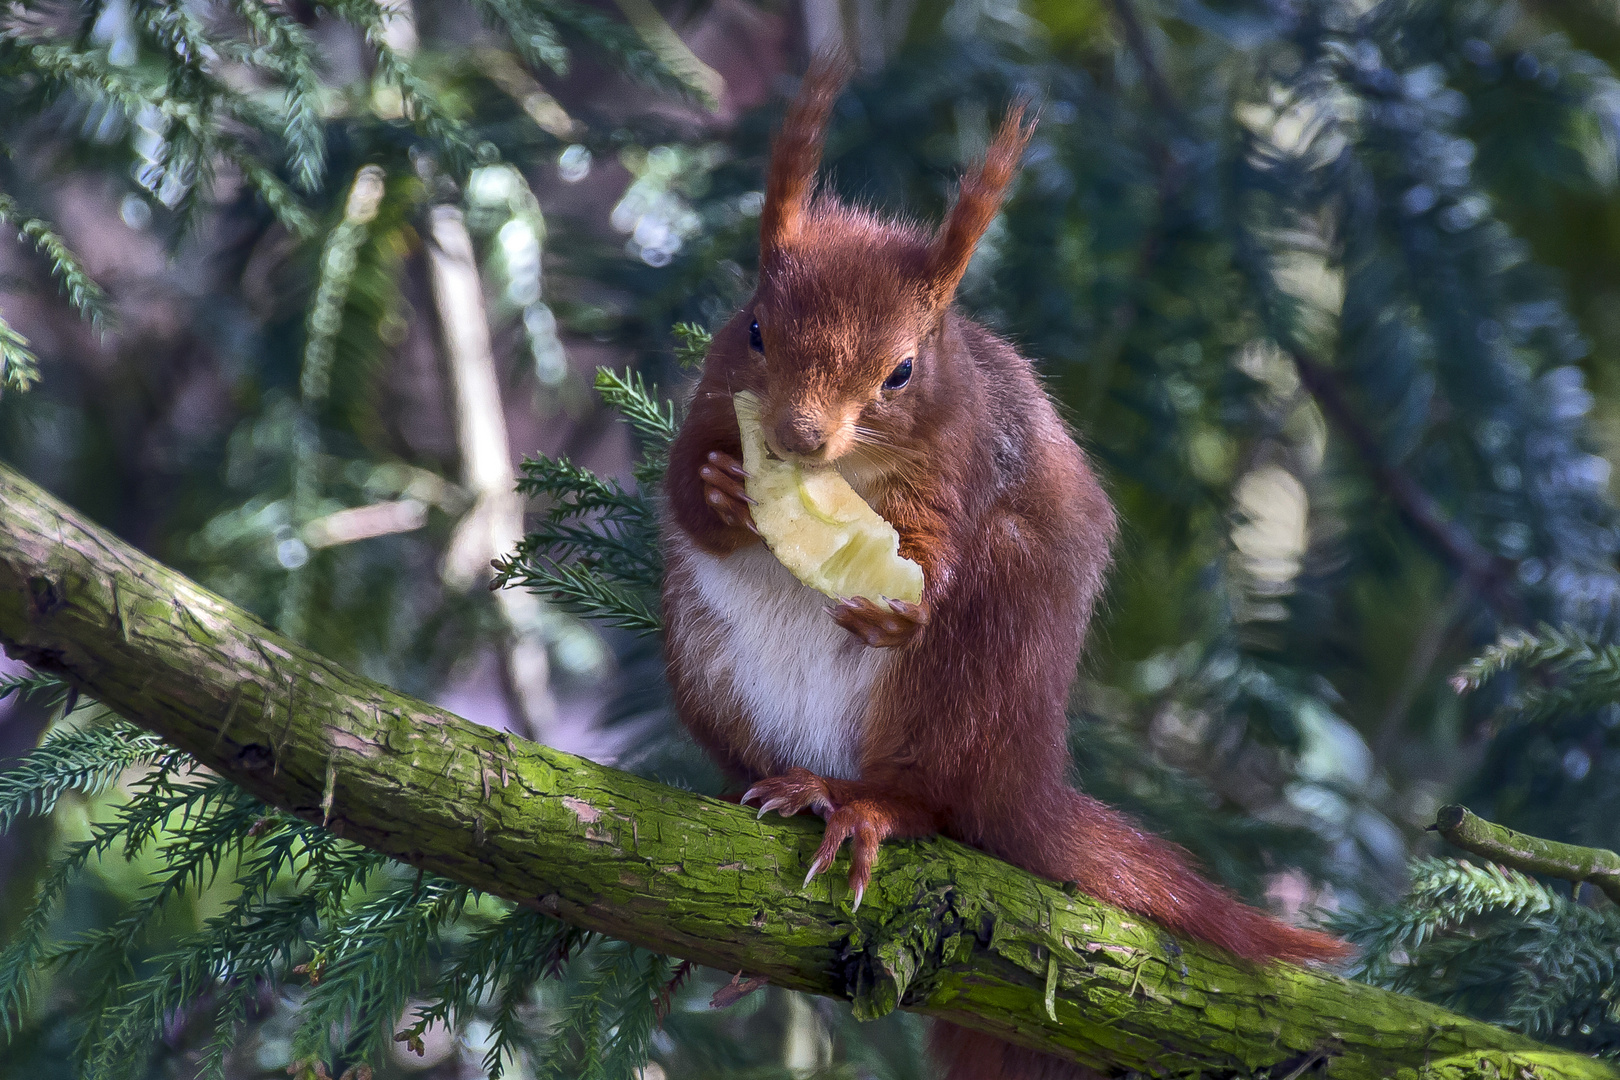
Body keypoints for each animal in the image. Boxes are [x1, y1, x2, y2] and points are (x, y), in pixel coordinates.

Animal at [651, 55, 1347, 1075]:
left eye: (902, 371)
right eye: (753, 331)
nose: (797, 437)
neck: (848, 475)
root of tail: (1023, 781)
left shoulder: (969, 462)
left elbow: (935, 555)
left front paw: (900, 603)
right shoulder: (707, 403)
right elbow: (681, 495)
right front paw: (721, 491)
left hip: (971, 674)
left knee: (934, 805)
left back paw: (866, 810)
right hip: (710, 675)